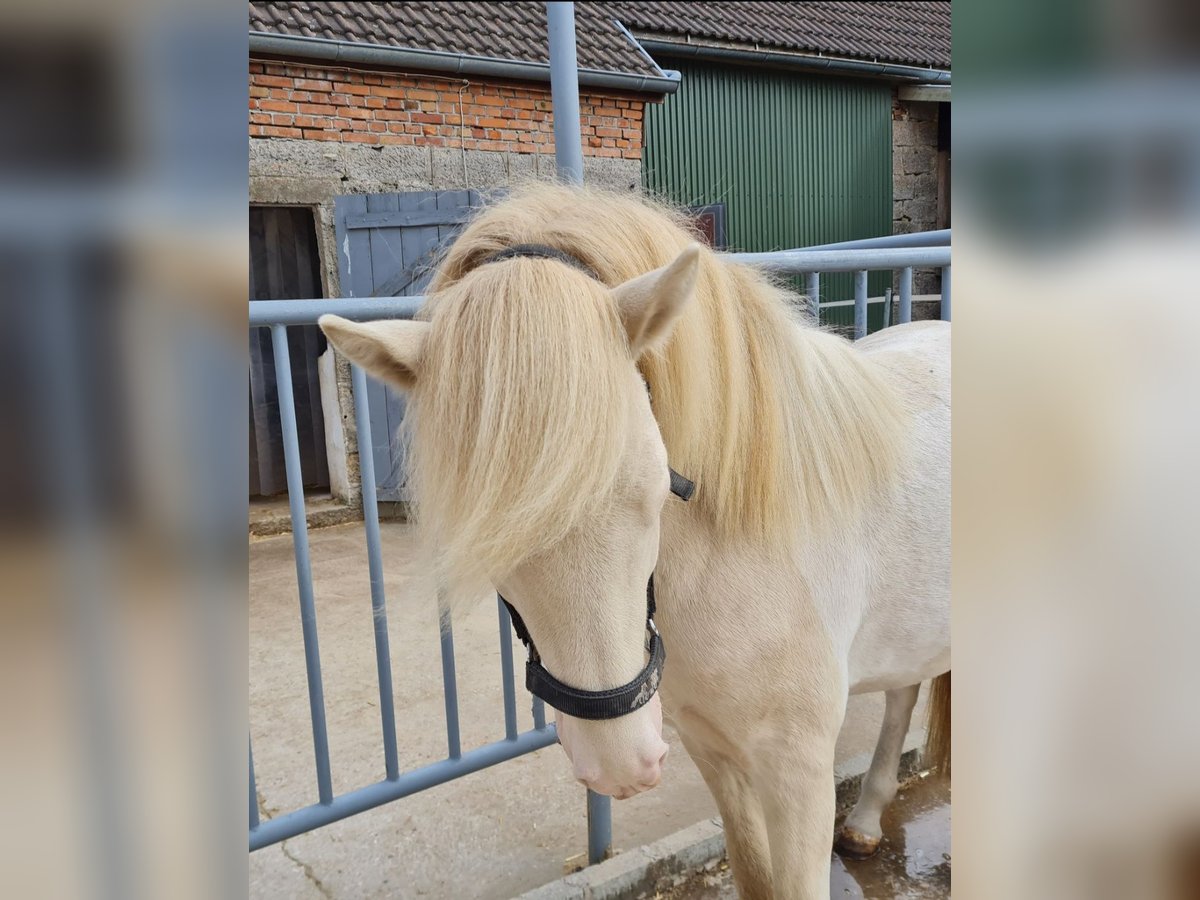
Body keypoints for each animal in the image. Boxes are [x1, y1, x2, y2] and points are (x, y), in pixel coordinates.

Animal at [316, 184, 945, 900]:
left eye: (653, 482)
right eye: (481, 529)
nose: (617, 763)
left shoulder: (799, 772)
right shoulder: (711, 748)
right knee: (905, 689)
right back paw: (865, 822)